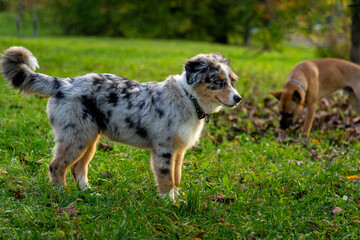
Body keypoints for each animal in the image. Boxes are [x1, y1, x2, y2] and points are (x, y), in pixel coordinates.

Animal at [1, 46, 242, 200]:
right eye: (218, 81)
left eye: (232, 80)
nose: (238, 98)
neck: (188, 97)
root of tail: (63, 83)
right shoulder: (163, 149)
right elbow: (166, 178)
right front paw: (168, 204)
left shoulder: (179, 151)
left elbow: (176, 178)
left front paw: (177, 199)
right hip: (75, 137)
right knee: (56, 166)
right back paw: (62, 195)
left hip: (90, 139)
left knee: (79, 168)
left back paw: (90, 194)